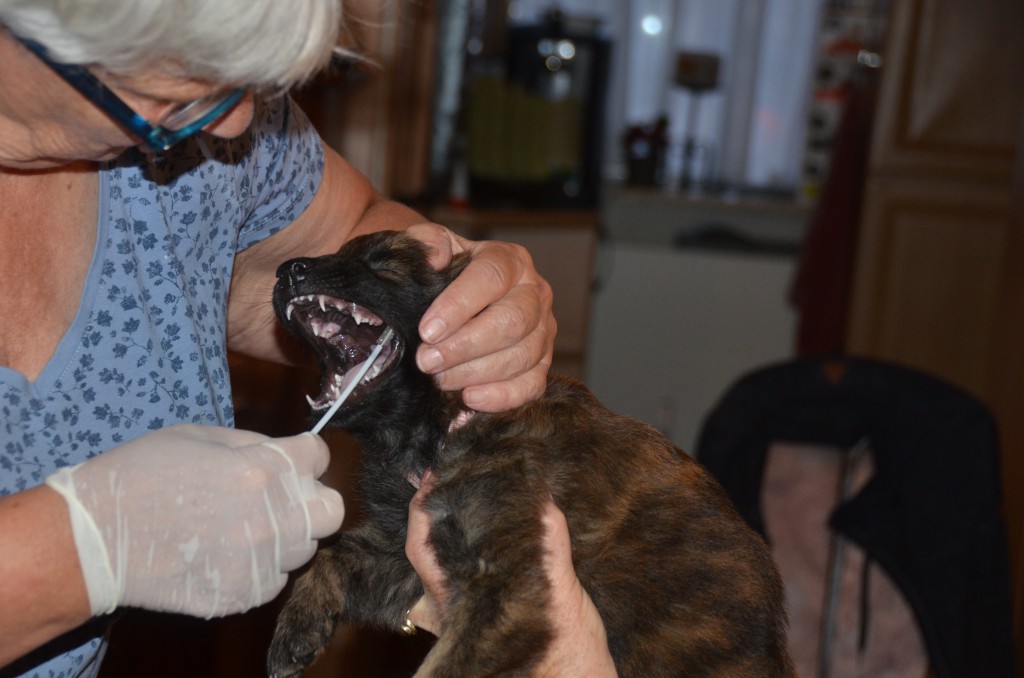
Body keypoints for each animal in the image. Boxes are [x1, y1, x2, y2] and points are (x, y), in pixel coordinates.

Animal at [266, 230, 794, 677]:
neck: (441, 425)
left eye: (385, 263)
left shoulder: (508, 590)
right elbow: (335, 555)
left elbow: (445, 665)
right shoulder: (407, 558)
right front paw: (297, 628)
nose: (286, 269)